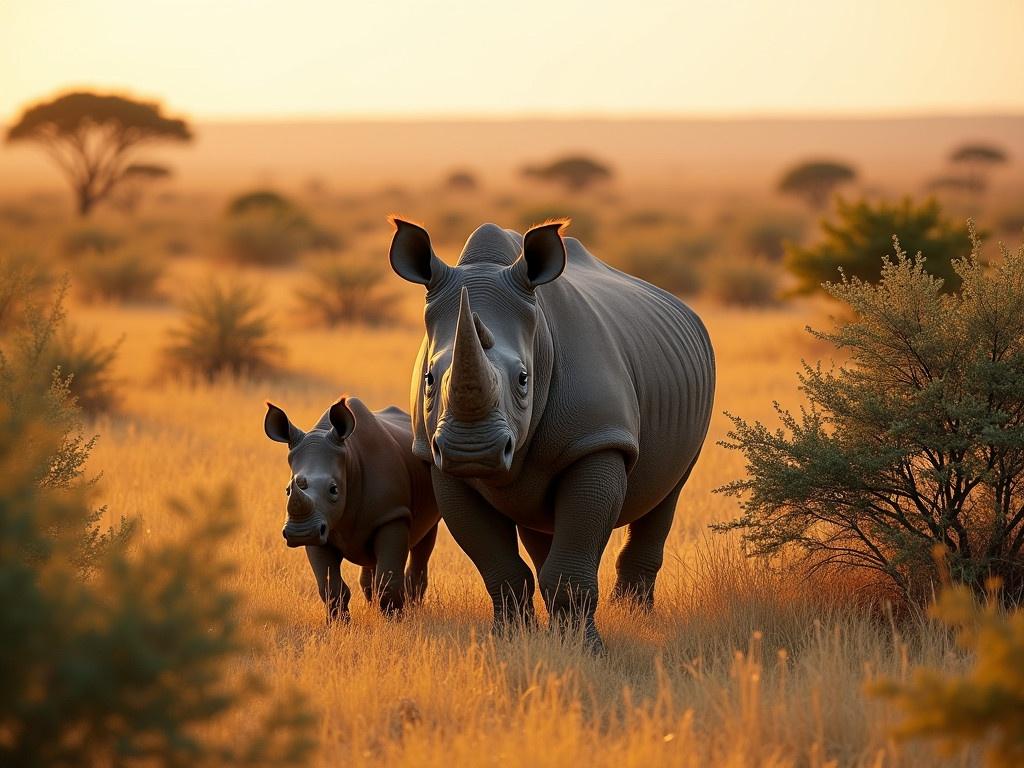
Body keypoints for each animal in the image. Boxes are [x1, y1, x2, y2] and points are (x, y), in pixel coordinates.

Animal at [262, 399, 438, 622]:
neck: (349, 460)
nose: (300, 532)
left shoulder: (393, 515)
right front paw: (338, 624)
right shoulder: (321, 526)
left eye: (334, 489)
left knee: (424, 539)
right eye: (287, 491)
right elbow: (329, 585)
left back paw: (413, 608)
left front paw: (395, 621)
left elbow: (388, 581)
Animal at [387, 218, 716, 651]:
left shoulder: (596, 440)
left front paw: (586, 651)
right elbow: (498, 566)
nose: (472, 451)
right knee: (538, 520)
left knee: (669, 492)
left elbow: (572, 564)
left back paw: (637, 616)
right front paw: (510, 643)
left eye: (524, 379)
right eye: (427, 379)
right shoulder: (436, 457)